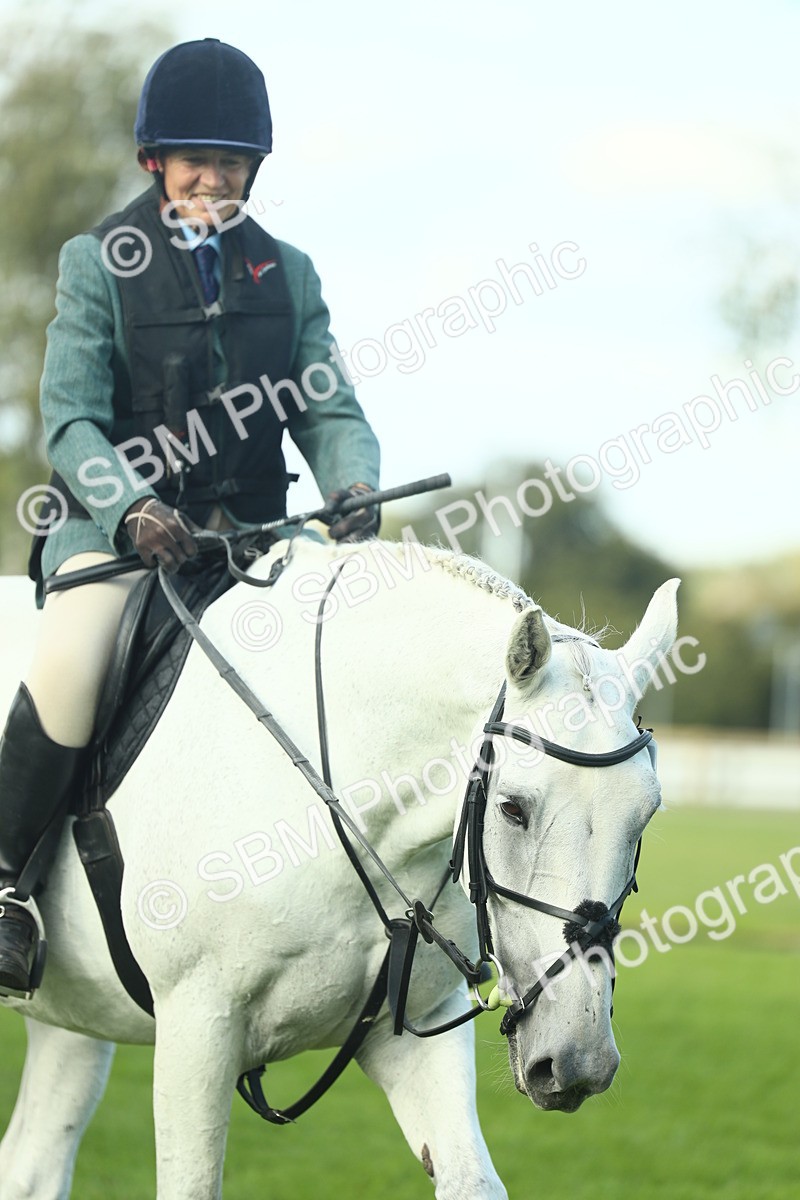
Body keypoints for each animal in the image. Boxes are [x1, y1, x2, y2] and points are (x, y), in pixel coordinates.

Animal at [0, 536, 679, 1199]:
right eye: (513, 808)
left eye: (646, 815)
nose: (579, 1063)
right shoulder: (196, 1030)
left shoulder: (419, 1027)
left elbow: (472, 1182)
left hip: (74, 1021)